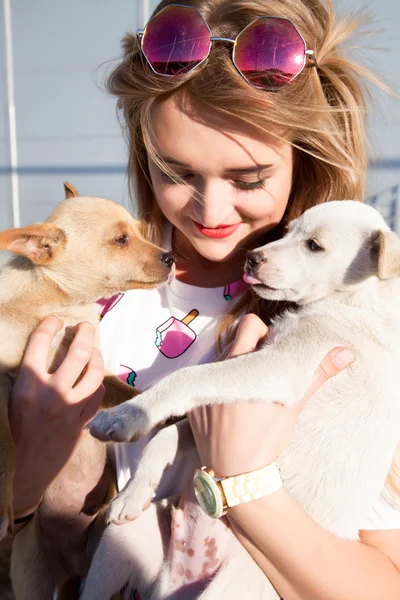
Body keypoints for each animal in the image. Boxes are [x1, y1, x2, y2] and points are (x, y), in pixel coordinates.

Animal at [0, 184, 173, 600]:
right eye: (121, 240)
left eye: (140, 230)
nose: (171, 257)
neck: (61, 306)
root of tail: (73, 566)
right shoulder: (1, 379)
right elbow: (5, 443)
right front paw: (1, 506)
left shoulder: (98, 379)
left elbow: (131, 394)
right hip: (33, 580)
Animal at [83, 202, 400, 600]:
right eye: (288, 231)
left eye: (314, 245)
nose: (251, 258)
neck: (357, 302)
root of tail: (174, 583)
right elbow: (167, 435)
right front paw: (133, 491)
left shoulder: (283, 367)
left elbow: (187, 378)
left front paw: (124, 416)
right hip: (122, 542)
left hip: (231, 589)